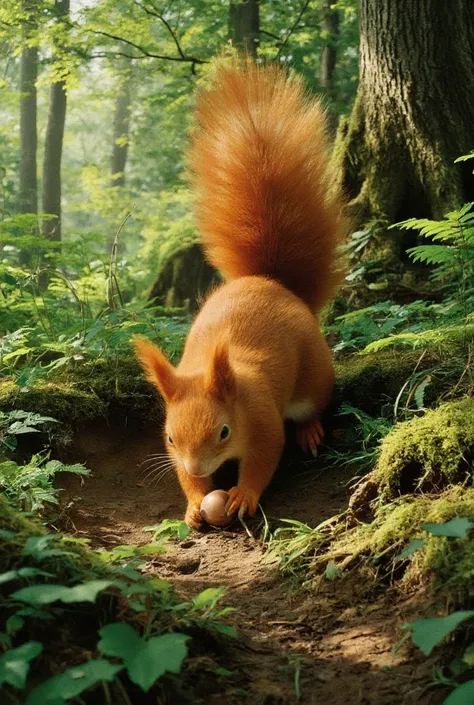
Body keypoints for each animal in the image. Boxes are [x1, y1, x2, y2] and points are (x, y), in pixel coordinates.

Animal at [134, 60, 348, 524]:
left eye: (224, 431)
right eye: (171, 438)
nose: (200, 466)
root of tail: (270, 282)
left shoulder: (264, 421)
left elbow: (265, 457)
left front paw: (244, 494)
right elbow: (185, 479)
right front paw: (196, 502)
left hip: (313, 377)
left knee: (313, 405)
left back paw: (310, 429)